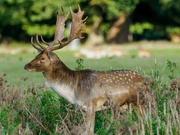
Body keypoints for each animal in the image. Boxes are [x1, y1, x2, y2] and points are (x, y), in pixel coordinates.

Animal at [23, 5, 150, 135]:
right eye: (36, 55)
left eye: (42, 58)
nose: (26, 66)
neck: (73, 91)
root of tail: (147, 81)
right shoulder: (82, 109)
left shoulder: (90, 105)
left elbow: (90, 131)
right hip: (124, 106)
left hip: (141, 101)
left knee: (145, 121)